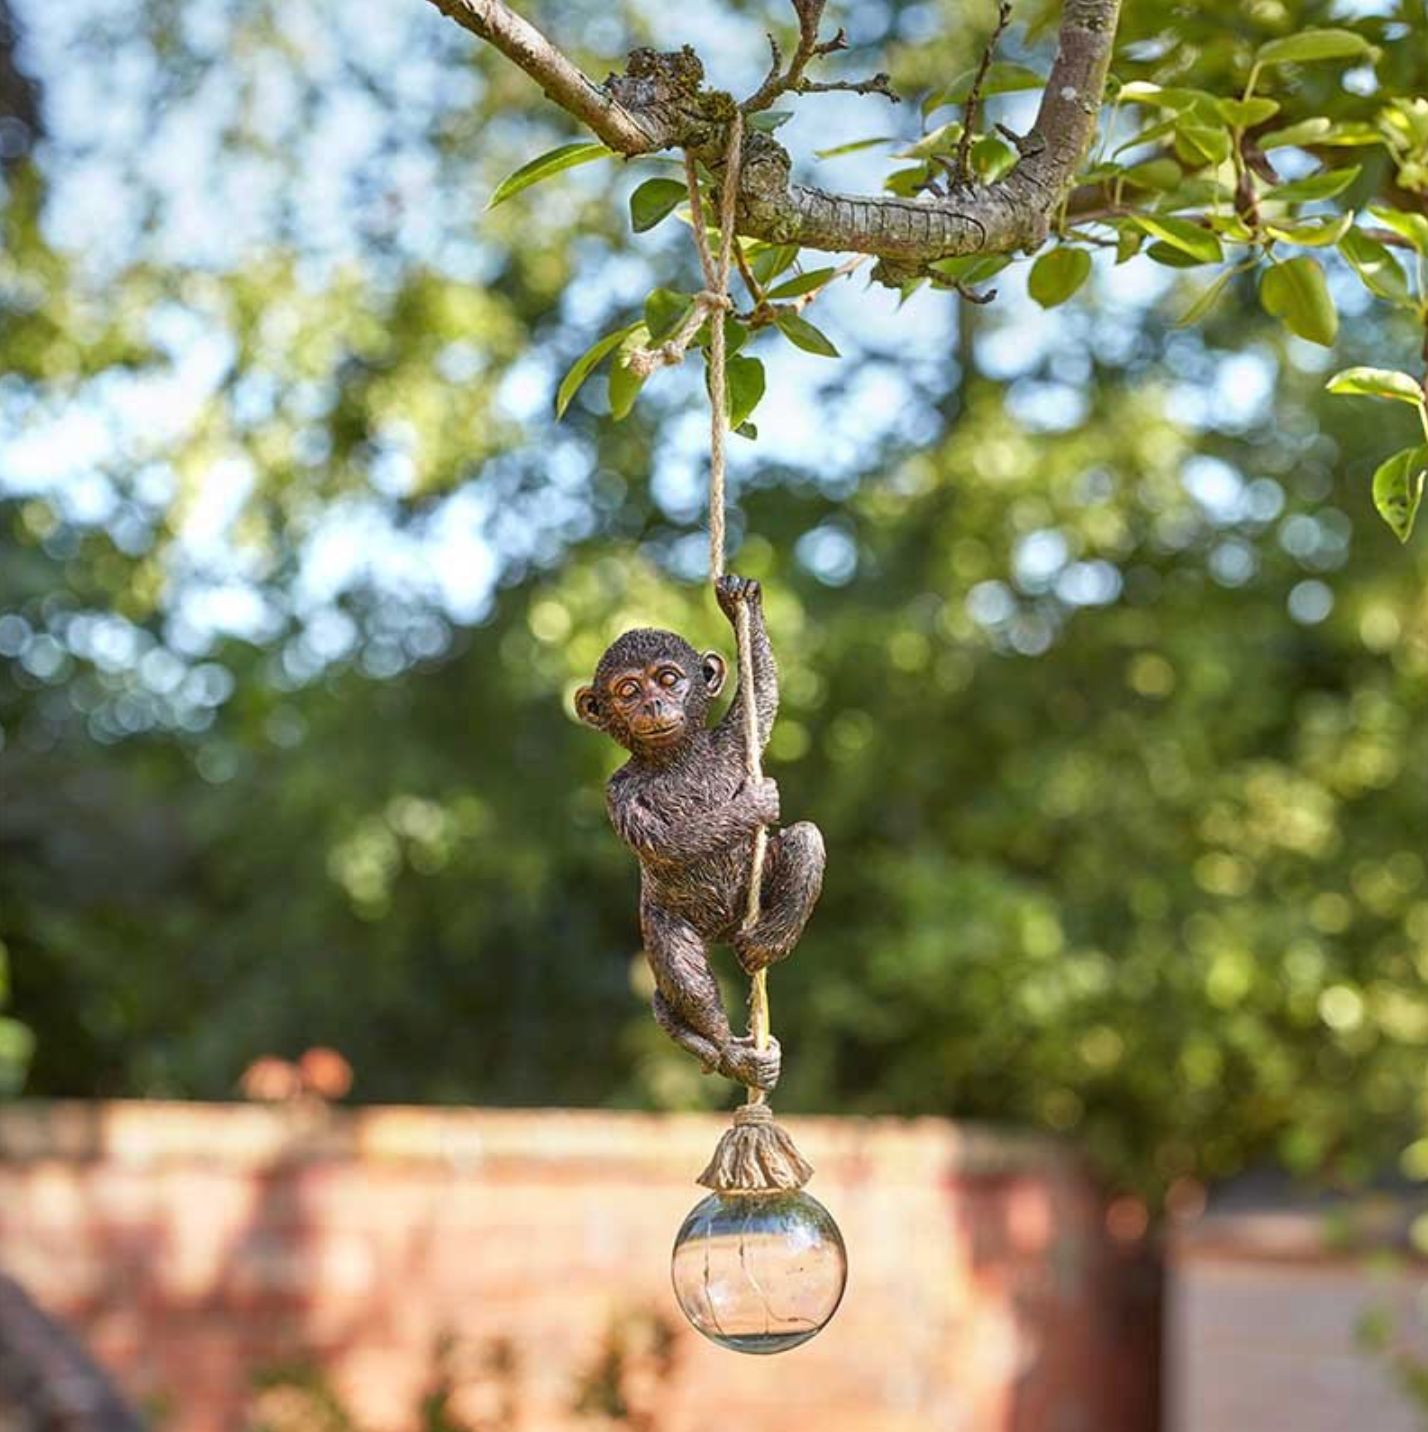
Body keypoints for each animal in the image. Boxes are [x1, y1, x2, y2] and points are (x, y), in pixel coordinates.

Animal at [575, 575, 825, 1092]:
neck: (679, 757)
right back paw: (734, 1054)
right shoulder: (617, 790)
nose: (653, 703)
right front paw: (756, 802)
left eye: (669, 679)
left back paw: (765, 945)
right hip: (665, 921)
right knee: (682, 980)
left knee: (806, 839)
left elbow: (763, 697)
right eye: (627, 690)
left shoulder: (731, 742)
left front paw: (740, 600)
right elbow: (666, 842)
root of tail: (727, 931)